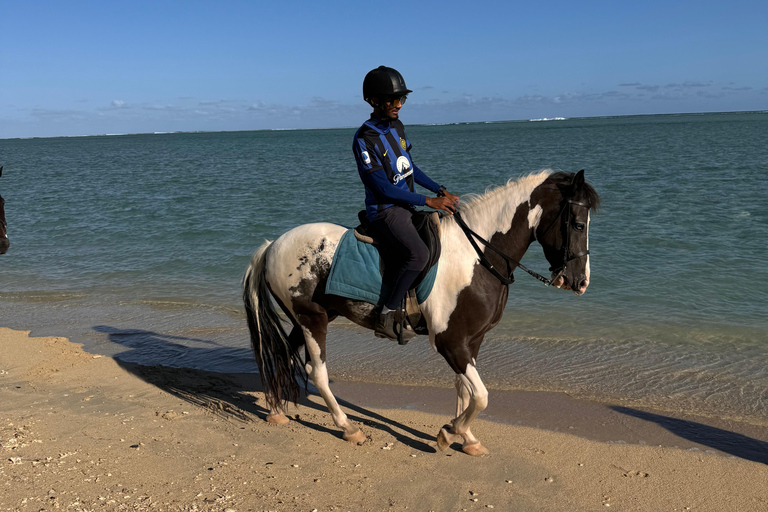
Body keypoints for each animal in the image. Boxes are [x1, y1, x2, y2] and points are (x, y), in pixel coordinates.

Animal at [244, 170, 600, 454]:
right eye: (577, 223)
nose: (581, 282)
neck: (477, 256)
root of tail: (273, 244)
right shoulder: (450, 342)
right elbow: (481, 396)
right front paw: (449, 432)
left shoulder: (471, 341)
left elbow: (464, 390)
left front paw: (467, 439)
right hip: (312, 319)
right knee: (316, 371)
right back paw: (349, 428)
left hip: (309, 317)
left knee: (281, 353)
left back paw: (275, 410)